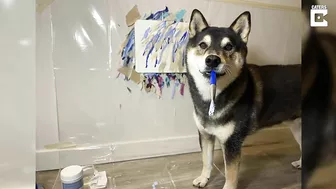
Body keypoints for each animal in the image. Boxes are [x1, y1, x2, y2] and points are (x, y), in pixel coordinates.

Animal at [186, 9, 302, 189]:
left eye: (228, 47)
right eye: (203, 45)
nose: (212, 60)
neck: (212, 97)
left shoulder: (232, 142)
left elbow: (231, 174)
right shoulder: (205, 135)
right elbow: (207, 161)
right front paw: (203, 179)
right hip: (297, 126)